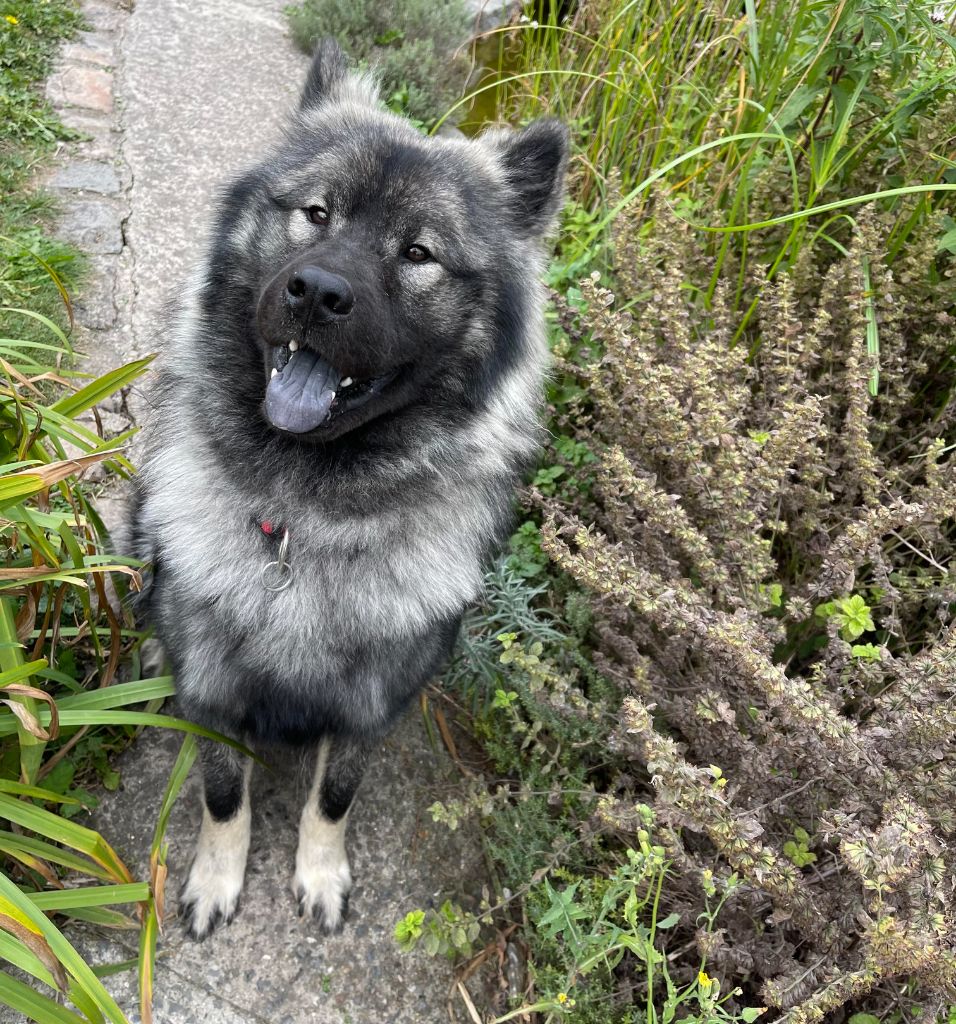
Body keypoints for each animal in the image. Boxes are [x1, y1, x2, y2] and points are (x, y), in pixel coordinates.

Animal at [127, 39, 569, 937]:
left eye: (418, 253)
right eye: (317, 214)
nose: (319, 292)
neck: (306, 517)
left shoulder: (371, 702)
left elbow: (334, 796)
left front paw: (320, 874)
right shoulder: (215, 691)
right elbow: (223, 797)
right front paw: (218, 879)